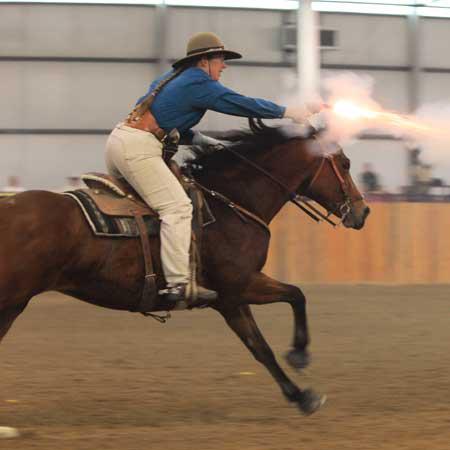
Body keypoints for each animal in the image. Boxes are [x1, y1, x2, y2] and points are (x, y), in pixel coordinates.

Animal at [0, 123, 370, 414]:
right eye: (345, 163)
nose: (363, 211)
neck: (230, 203)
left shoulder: (230, 300)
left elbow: (260, 347)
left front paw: (301, 396)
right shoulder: (241, 285)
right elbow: (296, 295)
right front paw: (299, 354)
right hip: (11, 300)